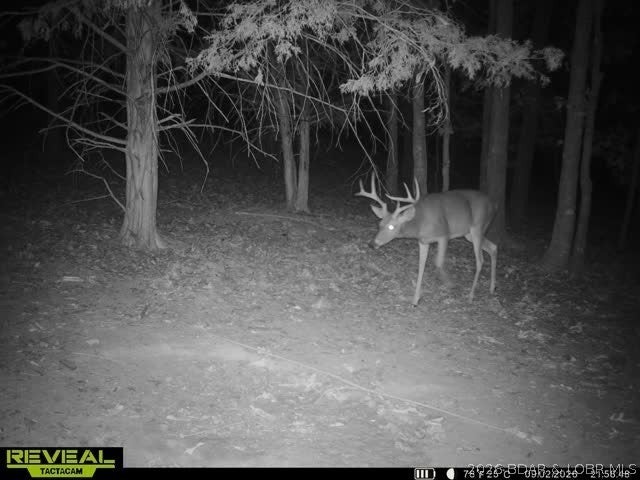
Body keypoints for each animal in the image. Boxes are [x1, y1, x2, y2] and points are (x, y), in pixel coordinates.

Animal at [355, 174, 497, 305]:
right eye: (380, 224)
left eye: (391, 226)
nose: (372, 244)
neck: (420, 223)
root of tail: (492, 204)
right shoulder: (423, 241)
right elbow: (421, 265)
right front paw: (415, 299)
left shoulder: (444, 234)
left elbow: (438, 262)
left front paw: (450, 283)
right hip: (469, 234)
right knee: (493, 247)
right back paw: (491, 288)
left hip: (477, 227)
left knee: (480, 260)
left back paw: (471, 296)